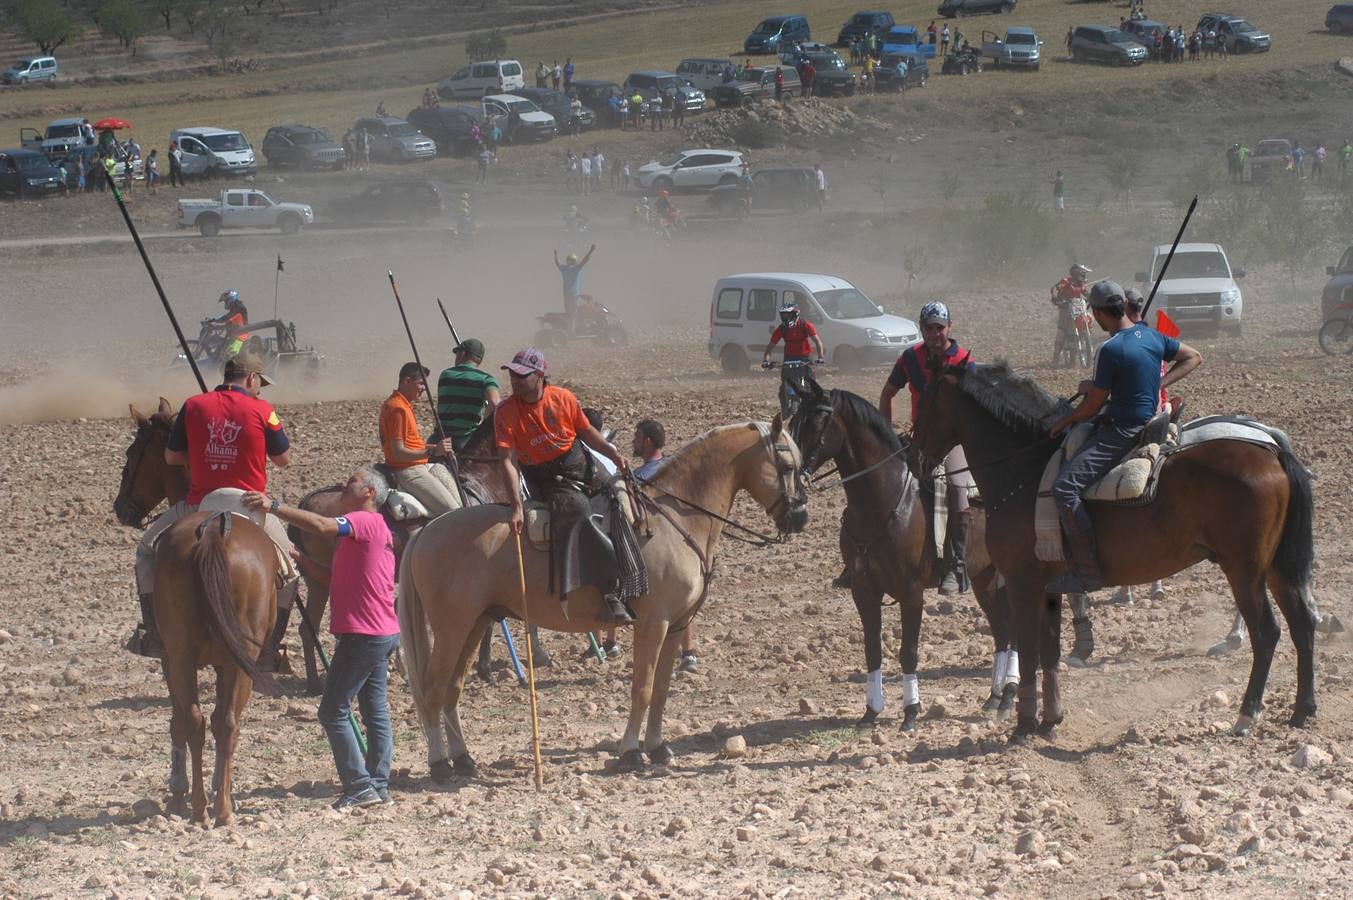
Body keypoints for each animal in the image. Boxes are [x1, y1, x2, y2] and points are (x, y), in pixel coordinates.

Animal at [395, 416, 806, 774]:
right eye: (787, 465)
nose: (801, 517)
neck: (676, 518)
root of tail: (427, 531)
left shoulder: (675, 626)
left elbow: (661, 689)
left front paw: (658, 748)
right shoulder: (653, 624)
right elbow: (642, 689)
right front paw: (631, 753)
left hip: (475, 624)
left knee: (451, 690)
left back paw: (463, 759)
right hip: (452, 629)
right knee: (432, 690)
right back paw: (439, 765)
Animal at [784, 381, 1017, 725]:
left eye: (814, 423)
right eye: (791, 422)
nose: (790, 476)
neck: (884, 502)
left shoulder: (911, 592)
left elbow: (908, 652)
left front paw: (910, 711)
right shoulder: (864, 590)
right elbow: (872, 649)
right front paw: (871, 711)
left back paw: (1009, 695)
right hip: (983, 579)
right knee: (1001, 630)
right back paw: (994, 698)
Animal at [914, 362, 1315, 741]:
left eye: (927, 399)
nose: (915, 453)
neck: (1025, 469)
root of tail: (1273, 451)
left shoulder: (1021, 582)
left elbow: (1027, 651)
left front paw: (1024, 725)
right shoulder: (1049, 586)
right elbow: (1049, 652)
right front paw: (1050, 721)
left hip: (1244, 571)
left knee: (1267, 633)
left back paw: (1247, 715)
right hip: (1275, 568)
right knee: (1302, 622)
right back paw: (1302, 710)